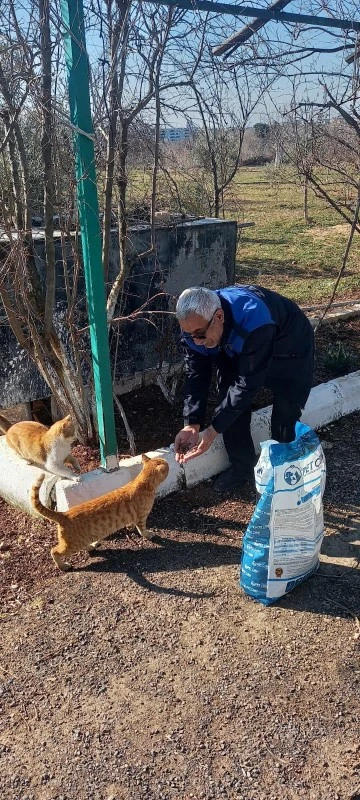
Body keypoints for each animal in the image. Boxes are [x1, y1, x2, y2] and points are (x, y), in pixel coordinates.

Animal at [29, 454, 169, 572]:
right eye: (167, 466)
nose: (169, 463)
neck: (142, 483)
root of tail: (64, 514)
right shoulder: (141, 517)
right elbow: (142, 530)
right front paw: (148, 534)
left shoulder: (135, 517)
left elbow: (132, 524)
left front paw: (130, 527)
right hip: (71, 545)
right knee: (54, 551)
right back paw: (63, 566)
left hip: (79, 541)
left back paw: (91, 546)